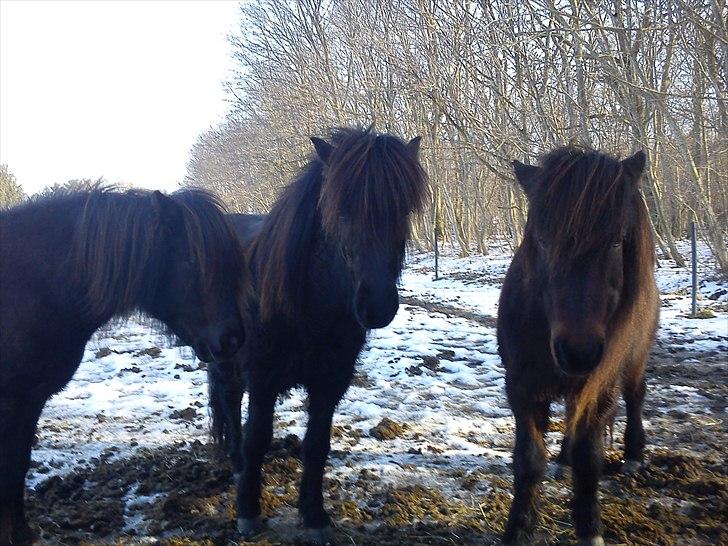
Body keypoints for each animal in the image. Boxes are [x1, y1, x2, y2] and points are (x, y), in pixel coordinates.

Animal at [0, 185, 247, 540]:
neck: (31, 285)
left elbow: (18, 463)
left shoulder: (30, 399)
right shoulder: (12, 400)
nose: (231, 340)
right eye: (191, 260)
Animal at [206, 126, 426, 540]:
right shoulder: (262, 378)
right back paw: (238, 467)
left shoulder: (331, 381)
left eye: (403, 210)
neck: (309, 305)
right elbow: (258, 437)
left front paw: (314, 515)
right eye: (341, 209)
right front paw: (248, 511)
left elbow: (317, 443)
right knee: (228, 404)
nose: (377, 305)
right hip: (226, 363)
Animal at [500, 147, 660, 540]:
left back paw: (634, 455)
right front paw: (519, 528)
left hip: (633, 362)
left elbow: (588, 459)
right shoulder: (520, 386)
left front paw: (590, 529)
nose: (578, 352)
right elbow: (529, 460)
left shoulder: (601, 387)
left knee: (636, 395)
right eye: (542, 240)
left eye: (617, 240)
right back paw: (562, 460)